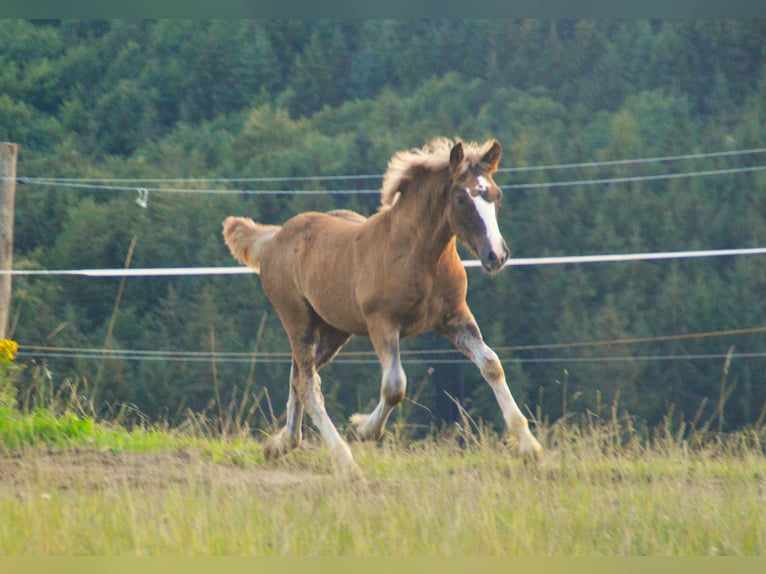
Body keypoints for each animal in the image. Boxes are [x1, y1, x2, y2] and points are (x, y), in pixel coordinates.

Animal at [225, 137, 544, 480]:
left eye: (496, 196)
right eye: (461, 199)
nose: (496, 255)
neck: (420, 257)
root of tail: (274, 237)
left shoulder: (455, 316)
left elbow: (491, 364)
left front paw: (529, 446)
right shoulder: (382, 322)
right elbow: (394, 386)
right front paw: (362, 429)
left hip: (334, 330)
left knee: (299, 374)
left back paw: (282, 443)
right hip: (296, 319)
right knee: (308, 383)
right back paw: (344, 461)